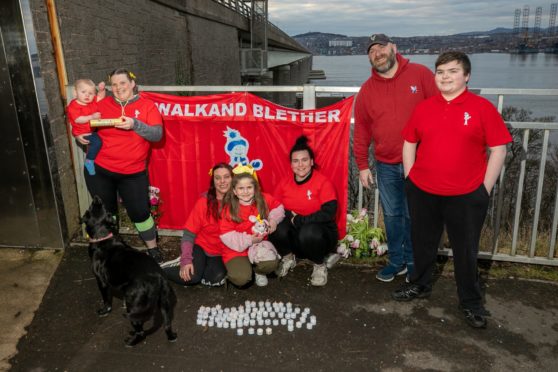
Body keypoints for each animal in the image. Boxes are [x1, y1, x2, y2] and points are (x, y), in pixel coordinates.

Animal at [82, 196, 178, 348]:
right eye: (103, 208)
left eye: (91, 207)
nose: (97, 198)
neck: (103, 236)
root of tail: (158, 278)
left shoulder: (101, 282)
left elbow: (106, 300)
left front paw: (104, 310)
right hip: (165, 304)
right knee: (167, 325)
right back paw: (171, 336)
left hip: (134, 305)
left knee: (141, 332)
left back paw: (131, 341)